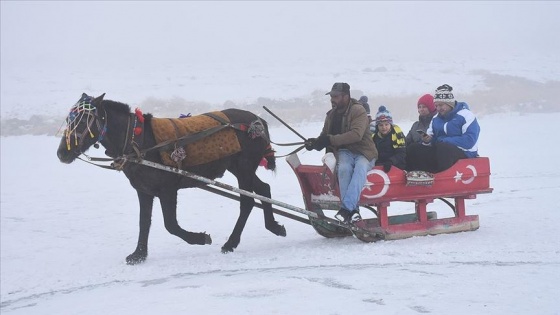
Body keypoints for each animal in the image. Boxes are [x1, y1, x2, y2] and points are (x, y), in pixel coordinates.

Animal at [56, 93, 284, 264]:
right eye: (69, 120)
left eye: (84, 121)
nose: (61, 153)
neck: (138, 142)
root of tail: (258, 122)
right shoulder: (144, 191)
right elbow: (144, 222)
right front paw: (139, 254)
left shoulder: (167, 190)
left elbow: (171, 225)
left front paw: (200, 238)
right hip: (239, 168)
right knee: (264, 190)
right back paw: (274, 227)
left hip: (244, 168)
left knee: (247, 201)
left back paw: (231, 242)